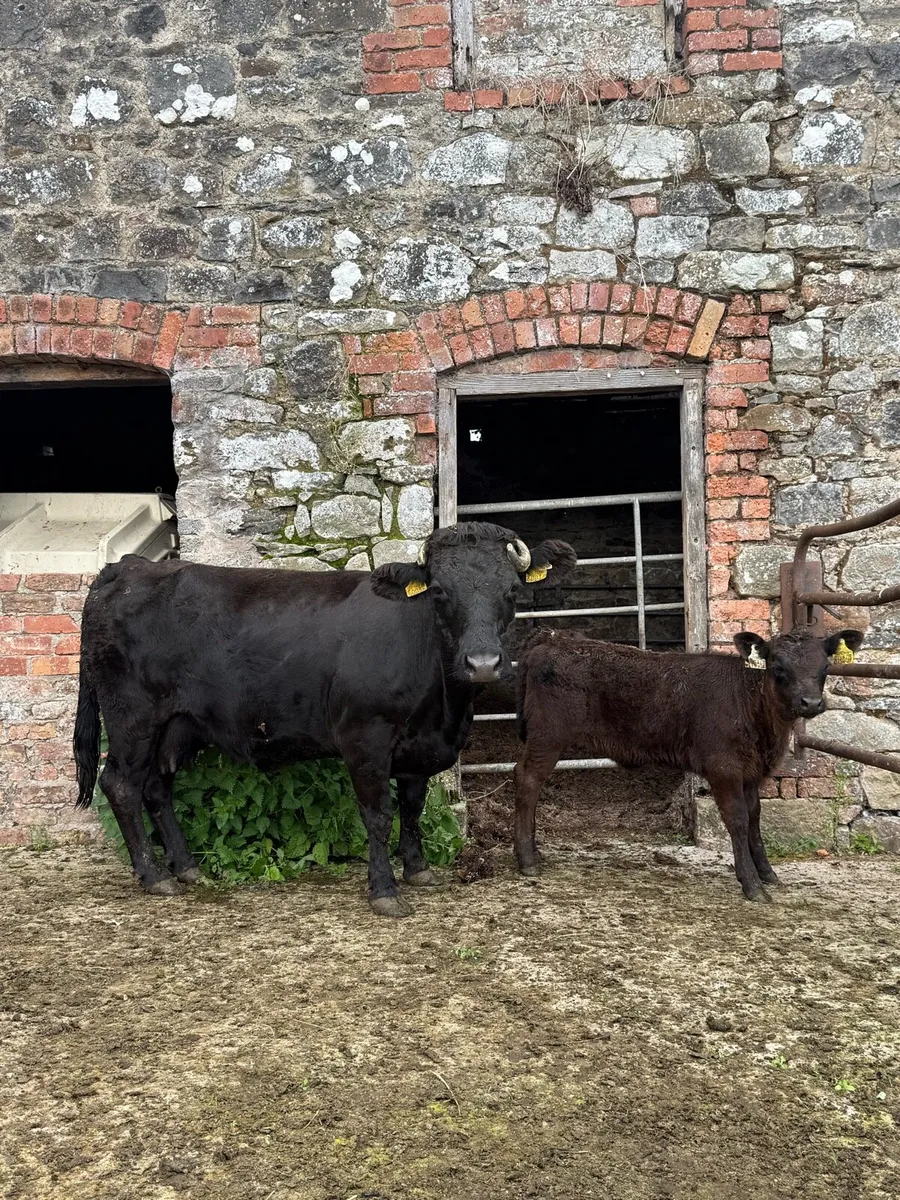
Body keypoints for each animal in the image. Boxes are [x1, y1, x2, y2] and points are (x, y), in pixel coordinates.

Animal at [73, 522, 576, 916]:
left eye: (512, 590)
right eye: (439, 592)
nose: (483, 664)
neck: (445, 706)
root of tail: (127, 568)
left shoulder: (418, 746)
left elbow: (412, 807)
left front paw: (418, 870)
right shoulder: (365, 738)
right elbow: (379, 815)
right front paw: (384, 891)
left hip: (174, 725)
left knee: (158, 786)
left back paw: (187, 868)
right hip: (132, 718)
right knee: (121, 784)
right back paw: (153, 874)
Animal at [512, 627, 864, 901]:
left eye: (825, 665)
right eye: (777, 666)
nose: (811, 703)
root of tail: (552, 638)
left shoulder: (752, 772)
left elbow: (754, 818)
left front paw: (766, 873)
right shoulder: (723, 768)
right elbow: (737, 820)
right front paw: (751, 884)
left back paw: (533, 851)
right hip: (548, 735)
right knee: (527, 779)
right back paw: (527, 859)